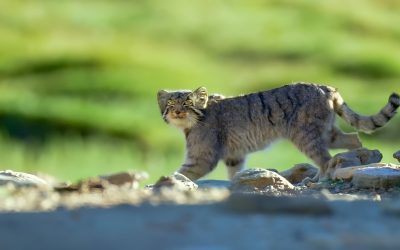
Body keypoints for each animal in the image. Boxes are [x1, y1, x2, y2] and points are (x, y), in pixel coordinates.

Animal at [157, 83, 400, 181]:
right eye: (171, 103)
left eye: (187, 103)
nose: (177, 112)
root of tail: (326, 87)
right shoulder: (235, 156)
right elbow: (234, 174)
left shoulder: (202, 157)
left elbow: (181, 173)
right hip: (327, 133)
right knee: (353, 138)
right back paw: (358, 159)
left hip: (305, 135)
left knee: (326, 160)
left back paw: (319, 179)